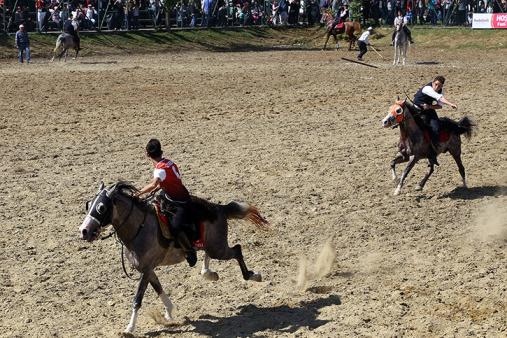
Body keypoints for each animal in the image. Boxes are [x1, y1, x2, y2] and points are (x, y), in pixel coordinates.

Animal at [78, 181, 270, 334]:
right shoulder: (148, 270)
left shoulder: (146, 270)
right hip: (213, 245)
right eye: (89, 205)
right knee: (210, 254)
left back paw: (253, 275)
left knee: (237, 250)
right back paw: (208, 273)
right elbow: (159, 288)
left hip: (219, 249)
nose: (84, 231)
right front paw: (169, 312)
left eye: (101, 207)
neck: (139, 228)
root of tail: (219, 208)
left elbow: (137, 299)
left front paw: (129, 328)